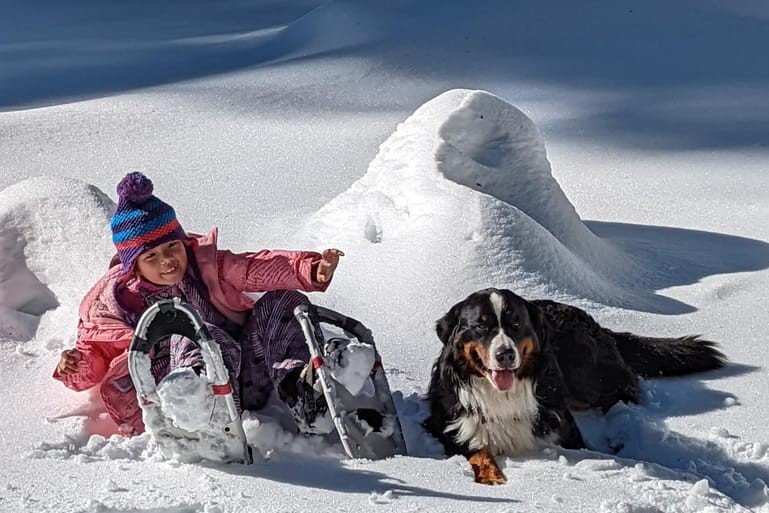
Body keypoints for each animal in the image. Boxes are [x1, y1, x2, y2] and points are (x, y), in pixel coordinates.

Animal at [426, 288, 728, 484]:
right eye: (480, 326)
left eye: (516, 323)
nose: (505, 355)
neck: (503, 397)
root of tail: (597, 324)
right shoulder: (456, 433)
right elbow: (480, 455)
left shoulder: (565, 433)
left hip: (588, 380)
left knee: (624, 393)